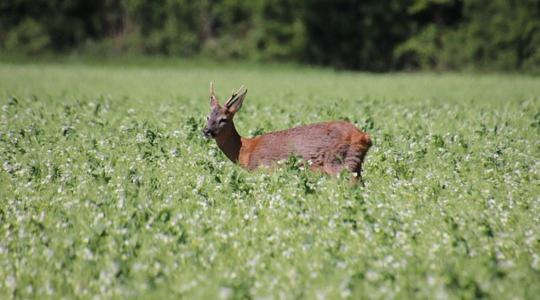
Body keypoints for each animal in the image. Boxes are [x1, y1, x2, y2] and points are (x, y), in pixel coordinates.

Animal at [202, 83, 372, 184]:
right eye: (208, 117)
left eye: (223, 119)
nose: (206, 131)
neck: (246, 150)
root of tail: (364, 137)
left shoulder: (264, 169)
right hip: (354, 165)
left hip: (340, 163)